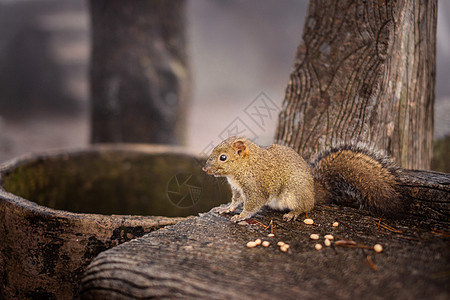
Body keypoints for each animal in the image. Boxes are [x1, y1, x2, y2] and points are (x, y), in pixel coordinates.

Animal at [202, 136, 402, 223]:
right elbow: (236, 201)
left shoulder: (256, 189)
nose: (204, 169)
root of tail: (314, 193)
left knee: (306, 207)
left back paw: (293, 213)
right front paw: (227, 209)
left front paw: (241, 216)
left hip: (295, 194)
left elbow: (252, 205)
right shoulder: (237, 189)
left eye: (223, 157)